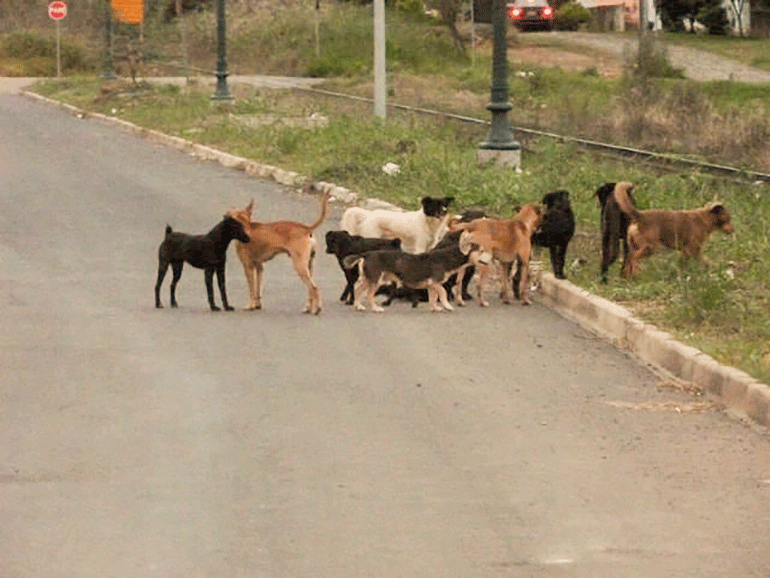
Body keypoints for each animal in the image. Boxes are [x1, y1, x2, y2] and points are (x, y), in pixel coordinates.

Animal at [225, 182, 328, 312]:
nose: (224, 215)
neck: (246, 226)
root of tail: (306, 229)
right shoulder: (259, 267)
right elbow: (258, 288)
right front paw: (257, 305)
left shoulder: (248, 267)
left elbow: (252, 289)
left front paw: (251, 305)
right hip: (308, 266)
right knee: (310, 289)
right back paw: (308, 308)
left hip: (299, 266)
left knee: (314, 288)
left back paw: (316, 309)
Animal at [344, 230, 488, 312]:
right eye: (481, 251)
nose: (490, 259)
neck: (448, 258)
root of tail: (366, 254)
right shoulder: (435, 282)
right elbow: (442, 292)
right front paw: (447, 306)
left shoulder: (430, 285)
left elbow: (433, 297)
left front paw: (435, 308)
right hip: (375, 279)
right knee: (369, 296)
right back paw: (376, 309)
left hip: (369, 278)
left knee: (358, 290)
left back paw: (358, 306)